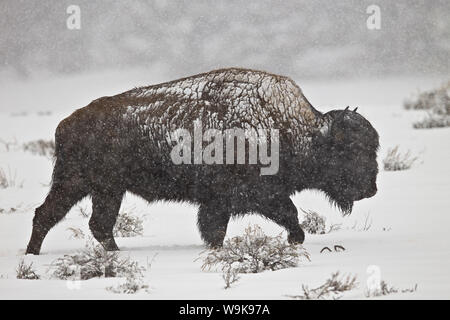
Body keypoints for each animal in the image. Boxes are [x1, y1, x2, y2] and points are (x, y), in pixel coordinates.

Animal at [25, 68, 380, 255]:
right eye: (351, 151)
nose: (372, 188)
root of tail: (67, 124)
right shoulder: (251, 196)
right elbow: (286, 214)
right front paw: (296, 239)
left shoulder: (223, 202)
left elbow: (219, 227)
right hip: (80, 183)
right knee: (52, 215)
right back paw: (35, 254)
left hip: (104, 189)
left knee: (89, 222)